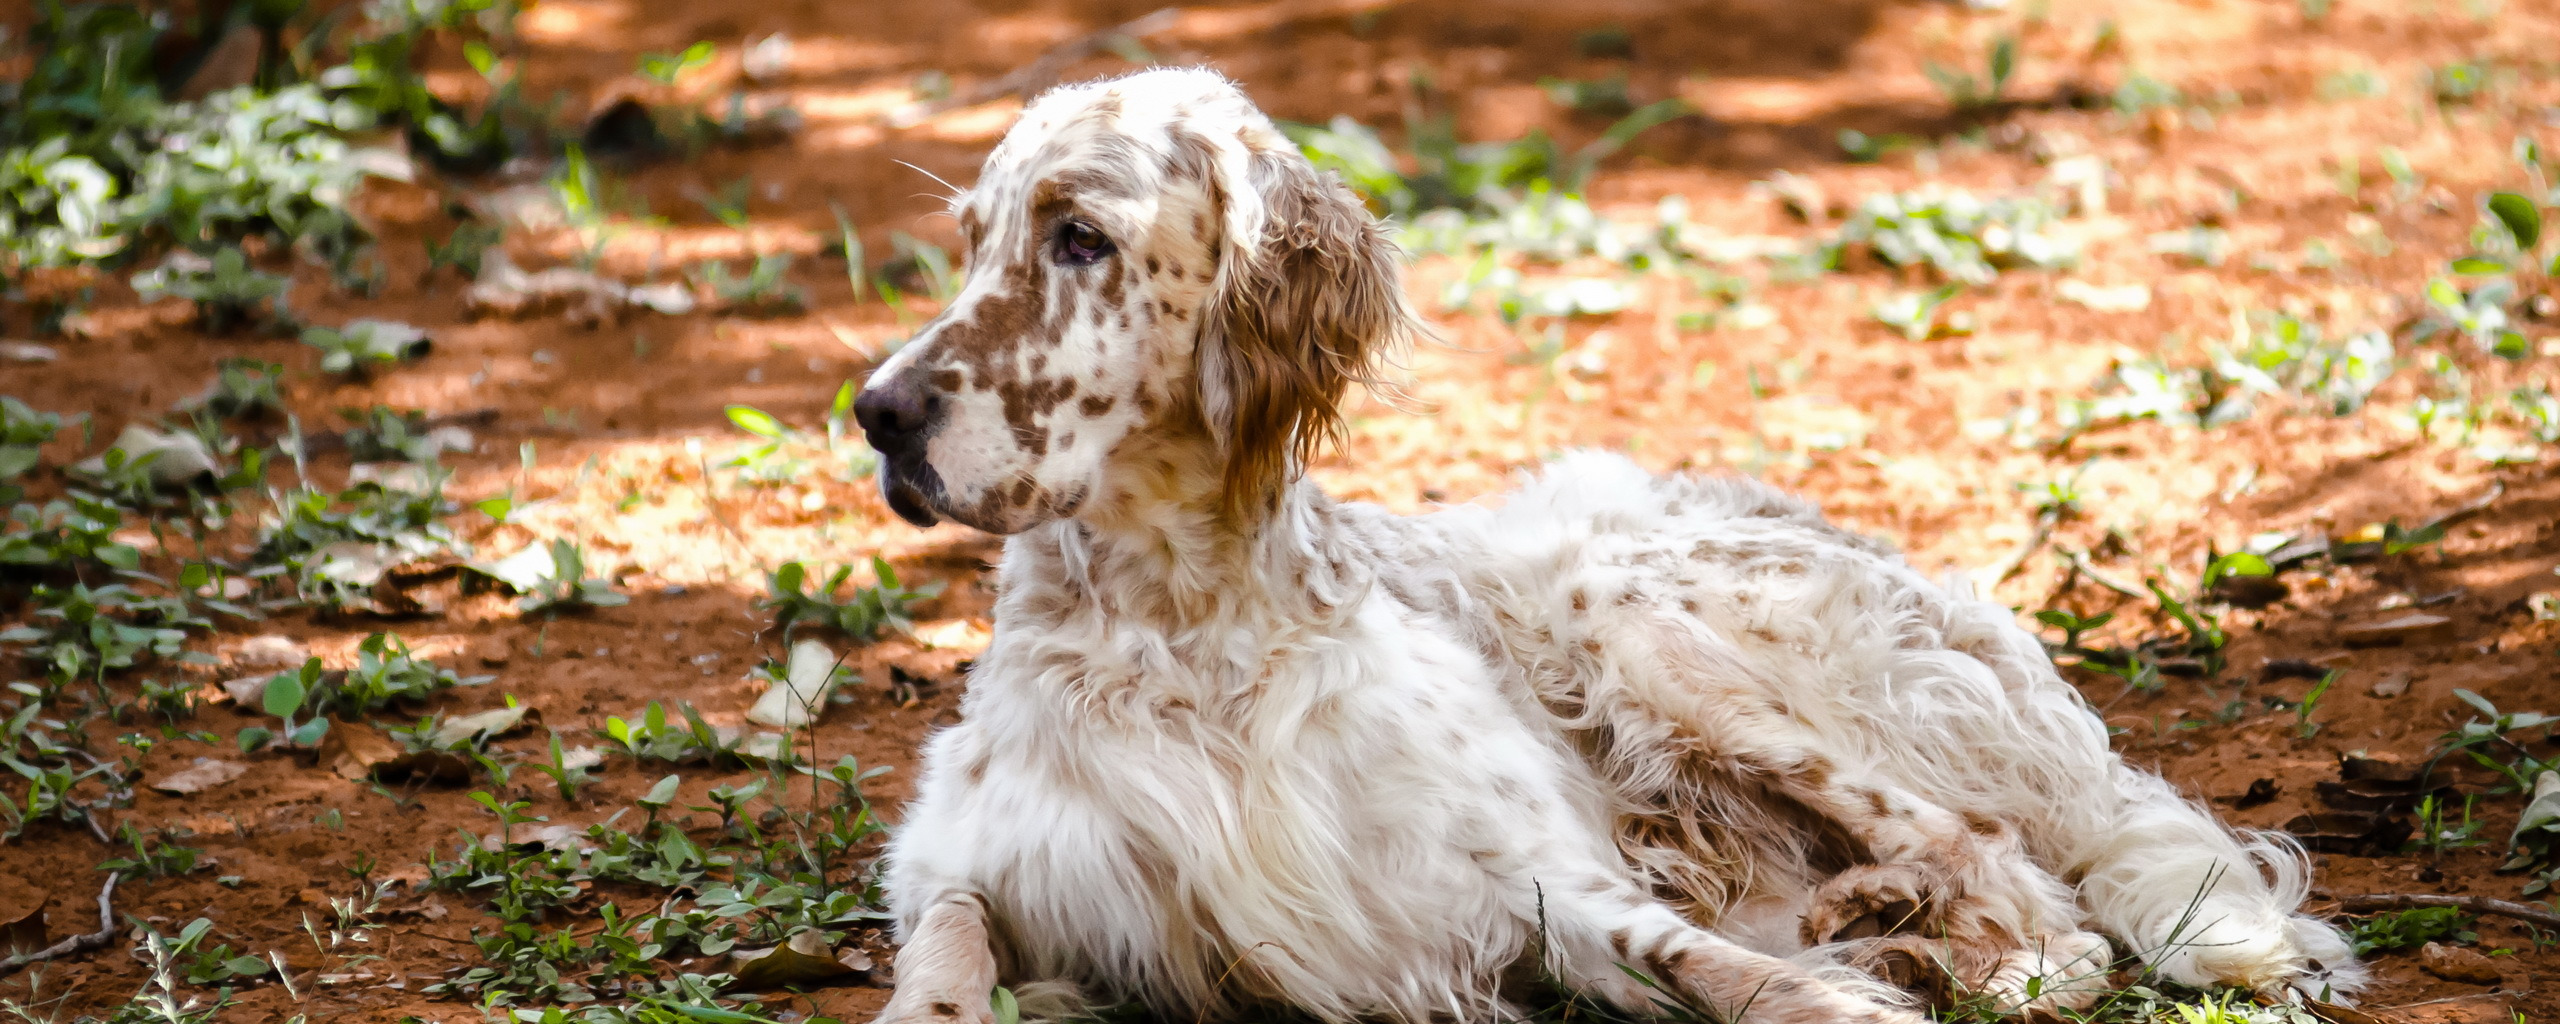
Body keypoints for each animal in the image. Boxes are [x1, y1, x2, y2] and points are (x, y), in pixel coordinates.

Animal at [849, 70, 2365, 1024]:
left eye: (1079, 238)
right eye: (972, 242)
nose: (874, 414)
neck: (1180, 627)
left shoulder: (1529, 881)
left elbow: (1716, 969)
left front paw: (1851, 991)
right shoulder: (965, 854)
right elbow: (946, 958)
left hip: (1627, 605)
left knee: (2027, 886)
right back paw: (1879, 917)